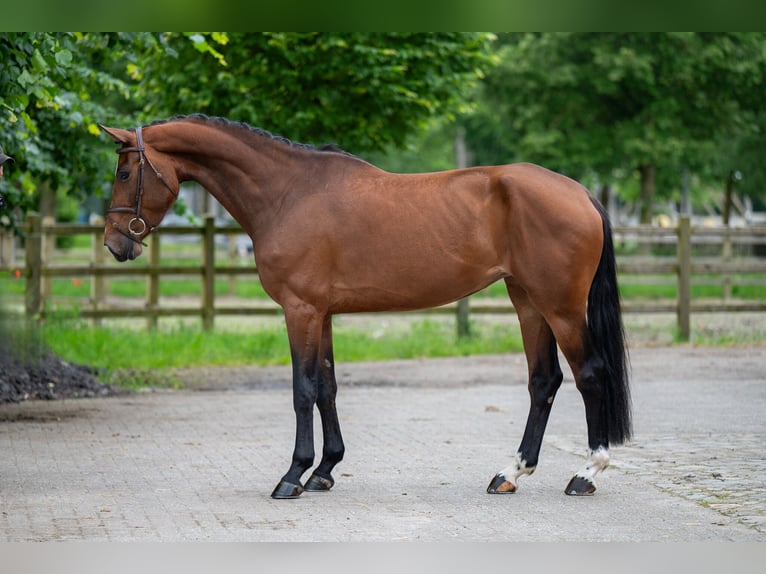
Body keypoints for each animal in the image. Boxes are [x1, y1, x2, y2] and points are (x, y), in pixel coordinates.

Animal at [99, 116, 632, 500]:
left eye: (124, 172)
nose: (115, 243)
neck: (289, 193)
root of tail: (581, 191)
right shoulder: (322, 313)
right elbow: (327, 387)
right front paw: (325, 470)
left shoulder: (300, 310)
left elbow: (302, 389)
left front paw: (292, 476)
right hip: (527, 302)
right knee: (544, 381)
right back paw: (510, 473)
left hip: (561, 307)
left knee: (590, 375)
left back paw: (586, 473)